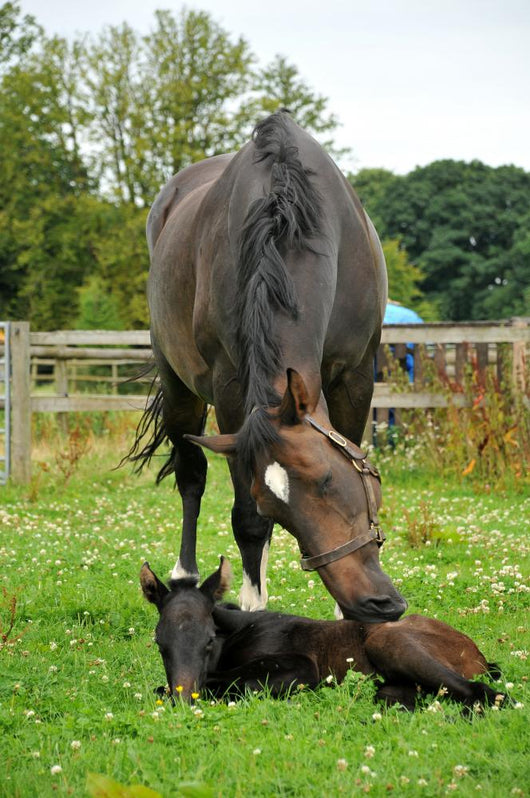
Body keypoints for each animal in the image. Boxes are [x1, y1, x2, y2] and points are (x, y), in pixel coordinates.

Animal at [130, 109, 406, 623]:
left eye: (329, 481)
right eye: (276, 507)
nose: (374, 604)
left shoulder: (357, 375)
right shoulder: (231, 388)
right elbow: (245, 520)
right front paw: (252, 606)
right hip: (180, 389)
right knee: (191, 476)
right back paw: (184, 574)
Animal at [140, 558, 506, 710]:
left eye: (208, 640)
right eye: (160, 643)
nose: (184, 701)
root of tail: (480, 656)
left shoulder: (302, 666)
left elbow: (233, 683)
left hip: (389, 642)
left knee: (485, 692)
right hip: (394, 686)